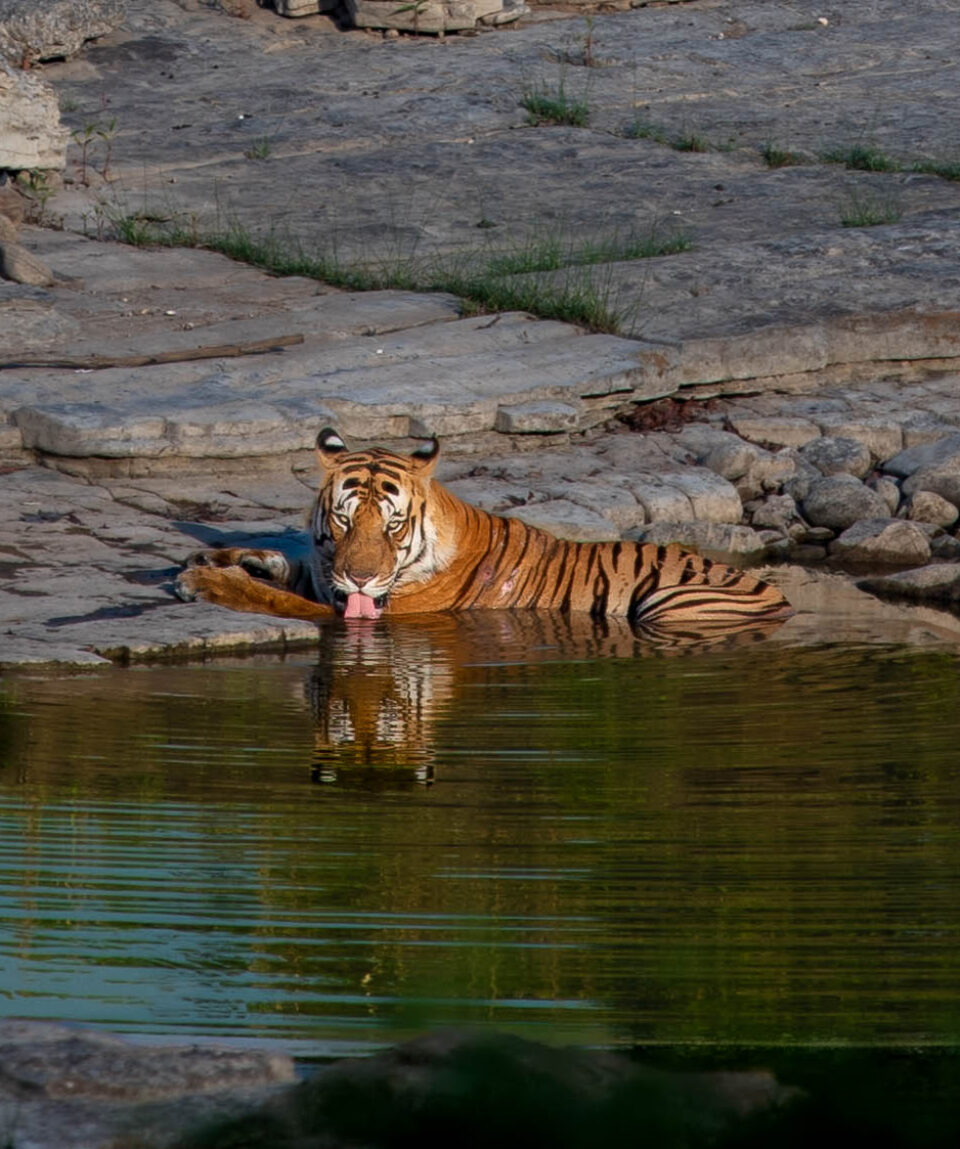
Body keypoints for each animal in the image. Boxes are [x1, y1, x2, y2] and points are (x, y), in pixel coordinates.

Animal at [175, 429, 790, 629]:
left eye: (393, 525)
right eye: (344, 518)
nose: (360, 579)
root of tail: (781, 596)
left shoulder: (372, 615)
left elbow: (278, 599)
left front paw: (205, 580)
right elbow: (286, 567)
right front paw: (218, 558)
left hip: (668, 603)